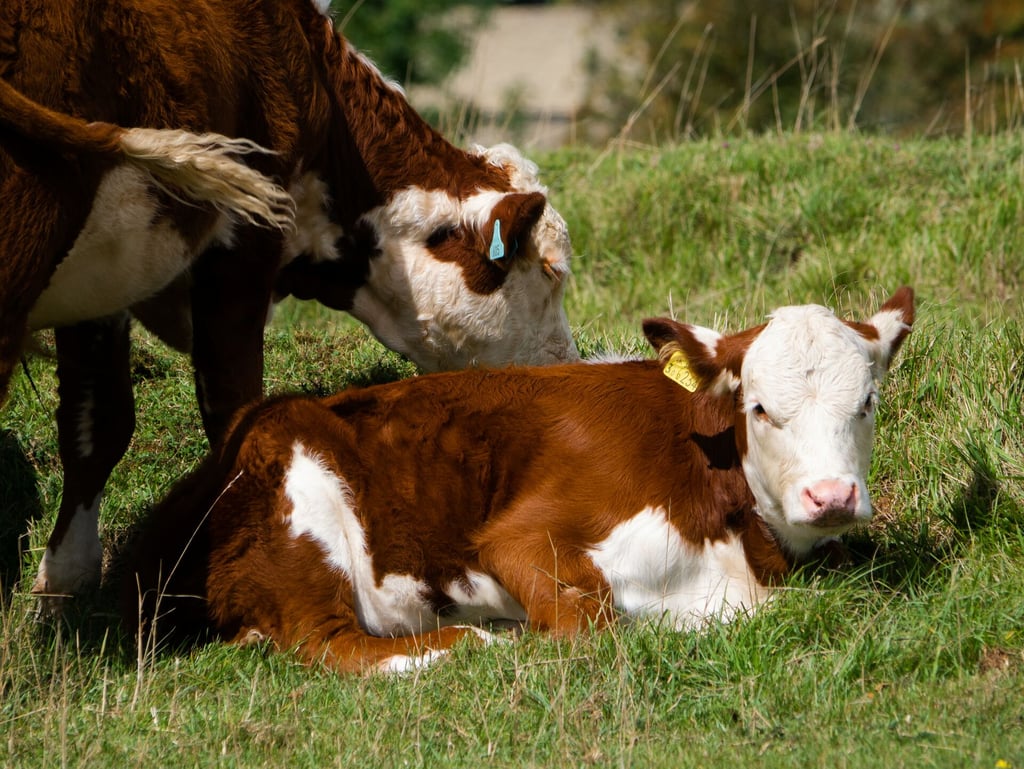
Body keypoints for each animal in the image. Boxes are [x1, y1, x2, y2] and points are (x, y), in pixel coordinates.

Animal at [0, 0, 577, 602]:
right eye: (552, 271)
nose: (570, 367)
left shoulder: (107, 282)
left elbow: (98, 425)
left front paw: (65, 585)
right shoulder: (242, 249)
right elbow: (235, 416)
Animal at [123, 286, 917, 671]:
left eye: (868, 401)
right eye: (759, 406)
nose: (831, 497)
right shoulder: (522, 535)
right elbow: (587, 625)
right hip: (304, 497)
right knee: (334, 645)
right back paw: (475, 641)